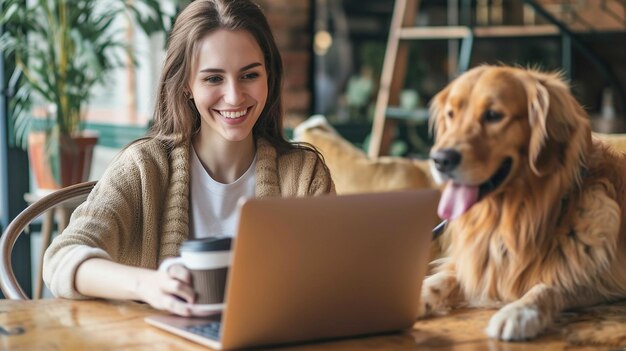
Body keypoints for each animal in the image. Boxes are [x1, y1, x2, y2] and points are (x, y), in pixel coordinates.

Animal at [420, 65, 624, 340]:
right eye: (451, 114)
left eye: (493, 115)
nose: (440, 159)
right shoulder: (479, 265)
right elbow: (443, 278)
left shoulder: (602, 280)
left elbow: (551, 285)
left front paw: (519, 312)